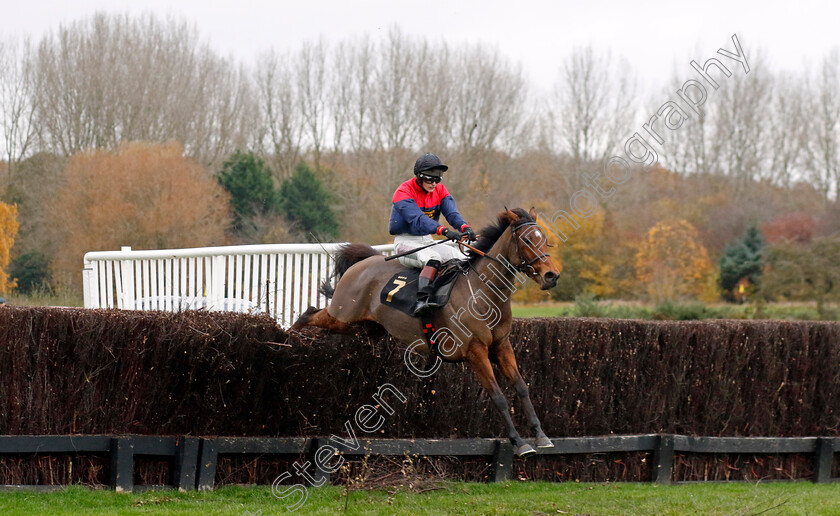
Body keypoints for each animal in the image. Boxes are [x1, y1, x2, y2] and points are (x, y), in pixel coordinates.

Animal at [292, 206, 560, 456]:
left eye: (544, 238)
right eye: (527, 240)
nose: (551, 275)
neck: (483, 292)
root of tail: (362, 263)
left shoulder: (502, 345)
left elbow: (521, 387)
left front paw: (541, 435)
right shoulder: (475, 352)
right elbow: (499, 397)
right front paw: (519, 442)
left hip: (365, 328)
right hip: (343, 314)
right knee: (309, 313)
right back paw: (293, 337)